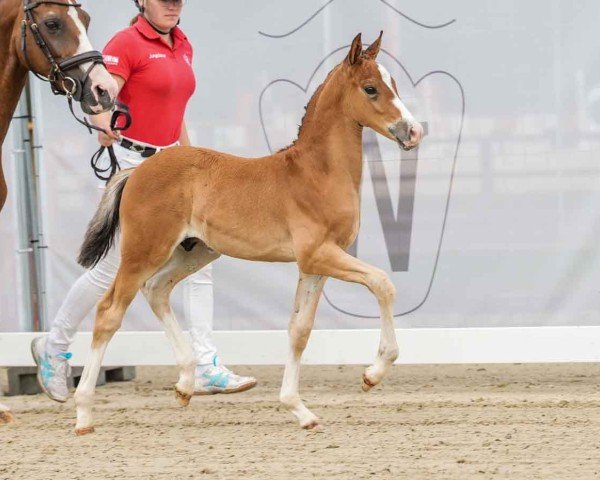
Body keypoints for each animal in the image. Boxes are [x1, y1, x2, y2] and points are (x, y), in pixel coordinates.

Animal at [72, 31, 424, 434]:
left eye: (393, 84)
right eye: (370, 88)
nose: (414, 131)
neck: (316, 173)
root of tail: (136, 172)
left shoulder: (314, 265)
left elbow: (300, 329)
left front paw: (299, 409)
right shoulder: (319, 254)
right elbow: (383, 283)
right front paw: (372, 374)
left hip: (194, 251)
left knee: (156, 290)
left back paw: (185, 385)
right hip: (143, 251)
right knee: (109, 311)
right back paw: (83, 414)